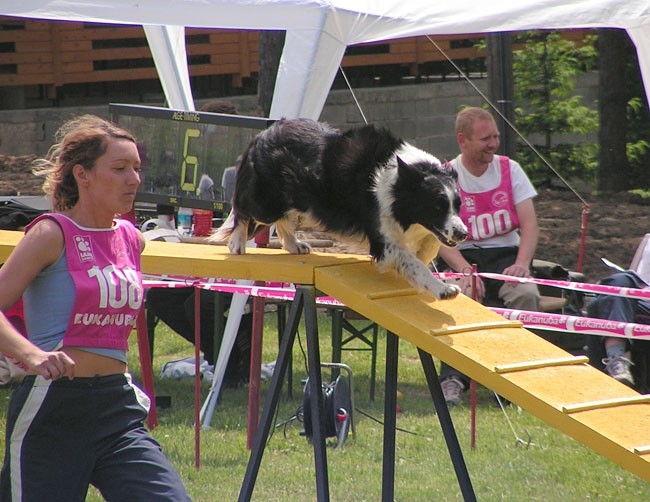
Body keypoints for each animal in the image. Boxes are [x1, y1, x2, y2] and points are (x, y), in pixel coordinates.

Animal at [213, 117, 466, 298]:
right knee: (242, 209)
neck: (398, 184)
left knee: (284, 219)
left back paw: (294, 245)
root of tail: (262, 135)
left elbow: (428, 248)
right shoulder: (383, 241)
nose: (463, 234)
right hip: (267, 203)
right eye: (437, 207)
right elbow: (414, 263)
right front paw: (443, 289)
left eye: (457, 205)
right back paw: (236, 244)